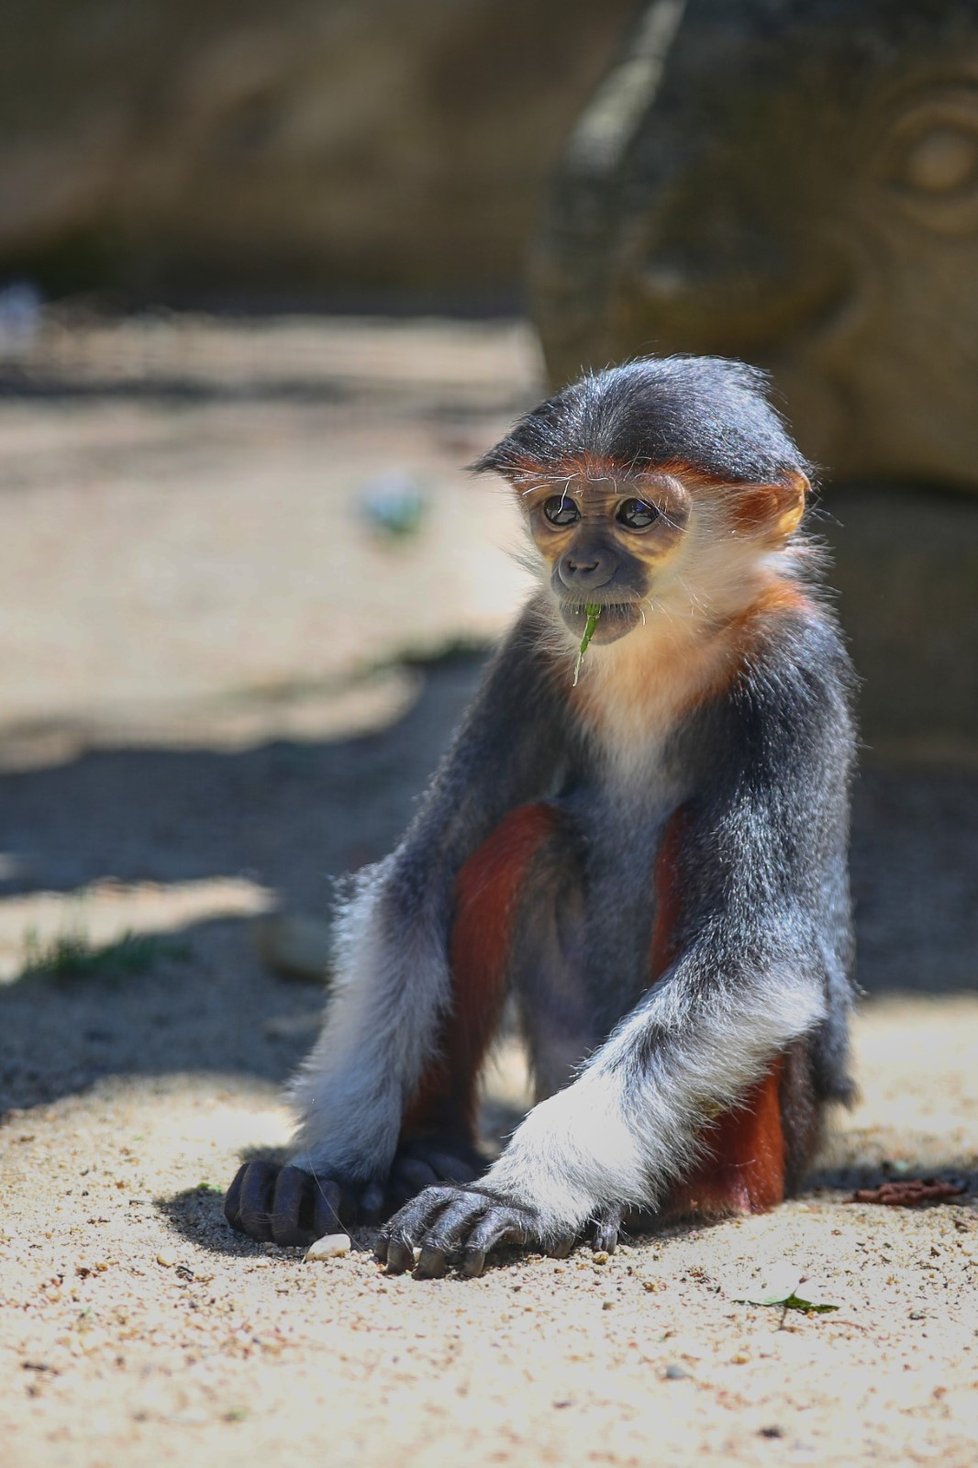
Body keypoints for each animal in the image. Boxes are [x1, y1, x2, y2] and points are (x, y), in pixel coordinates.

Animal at [224, 352, 851, 1274]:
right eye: (560, 510)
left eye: (635, 514)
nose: (579, 567)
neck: (663, 650)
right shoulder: (532, 644)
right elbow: (414, 881)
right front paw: (332, 1165)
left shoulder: (790, 673)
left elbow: (757, 963)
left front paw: (517, 1194)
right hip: (559, 1043)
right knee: (524, 836)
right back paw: (430, 1150)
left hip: (777, 1133)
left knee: (691, 839)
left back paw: (656, 1200)